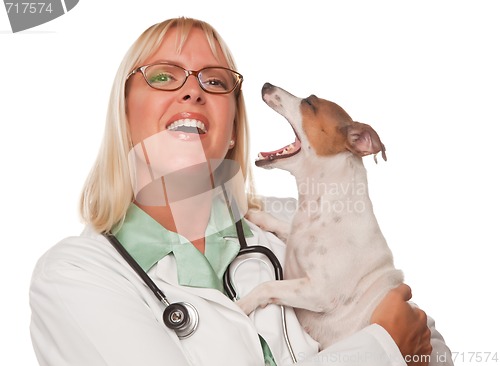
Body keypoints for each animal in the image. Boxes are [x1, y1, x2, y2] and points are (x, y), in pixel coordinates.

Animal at [236, 82, 404, 348]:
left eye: (309, 102)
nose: (266, 85)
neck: (320, 207)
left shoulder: (318, 292)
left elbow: (268, 286)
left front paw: (241, 305)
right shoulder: (295, 237)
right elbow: (281, 225)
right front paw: (256, 215)